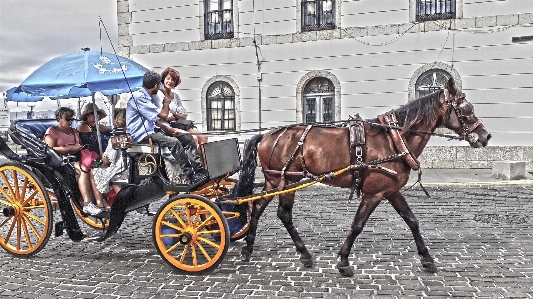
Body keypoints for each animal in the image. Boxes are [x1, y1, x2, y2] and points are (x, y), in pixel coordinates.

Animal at [237, 79, 490, 276]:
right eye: (466, 110)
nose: (485, 136)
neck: (393, 140)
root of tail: (267, 135)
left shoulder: (391, 191)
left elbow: (412, 220)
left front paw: (427, 258)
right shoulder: (373, 193)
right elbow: (358, 225)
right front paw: (343, 261)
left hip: (278, 181)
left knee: (262, 210)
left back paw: (257, 248)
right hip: (284, 181)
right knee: (278, 212)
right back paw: (293, 252)